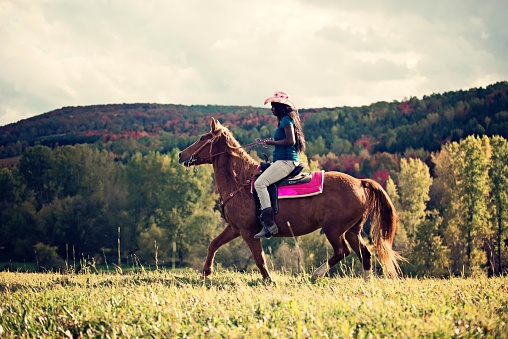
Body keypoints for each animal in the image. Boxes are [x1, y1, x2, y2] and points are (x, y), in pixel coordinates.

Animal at [181, 117, 402, 282]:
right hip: (351, 231)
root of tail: (359, 182)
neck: (241, 182)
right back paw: (366, 282)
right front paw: (205, 273)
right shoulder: (235, 228)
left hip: (334, 229)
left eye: (202, 138)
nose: (181, 155)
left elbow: (259, 259)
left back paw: (316, 274)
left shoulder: (248, 231)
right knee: (365, 254)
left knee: (342, 251)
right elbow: (213, 244)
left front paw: (269, 279)